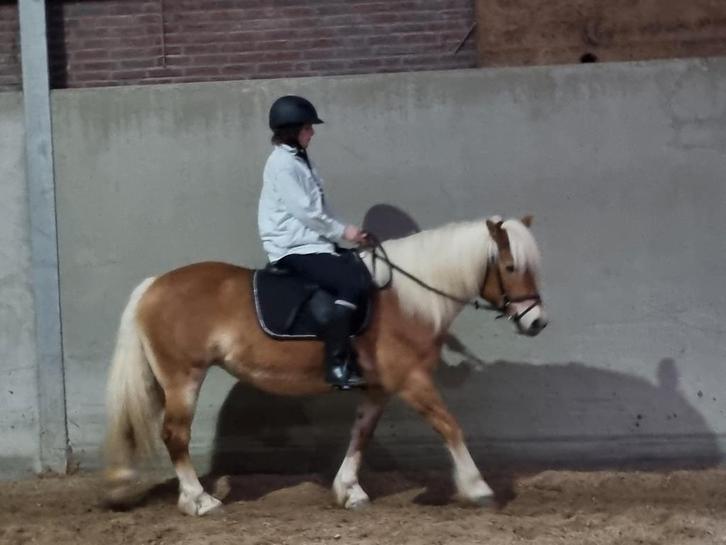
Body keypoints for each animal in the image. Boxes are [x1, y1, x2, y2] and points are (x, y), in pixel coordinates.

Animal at [103, 215, 547, 515]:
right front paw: (477, 487)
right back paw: (201, 500)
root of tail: (154, 285)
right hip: (184, 378)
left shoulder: (379, 388)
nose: (537, 322)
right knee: (175, 435)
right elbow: (450, 426)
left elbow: (361, 435)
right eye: (511, 267)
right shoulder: (412, 381)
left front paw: (349, 490)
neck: (407, 299)